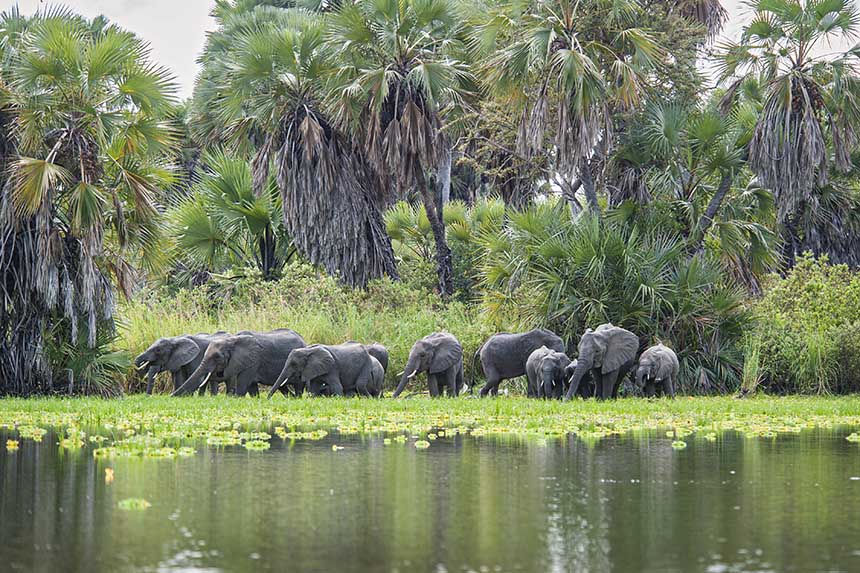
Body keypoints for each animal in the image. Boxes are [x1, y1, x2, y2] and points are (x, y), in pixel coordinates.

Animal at [172, 328, 306, 396]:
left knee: (298, 386)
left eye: (217, 357)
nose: (170, 396)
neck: (232, 339)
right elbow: (252, 389)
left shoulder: (253, 360)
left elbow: (242, 386)